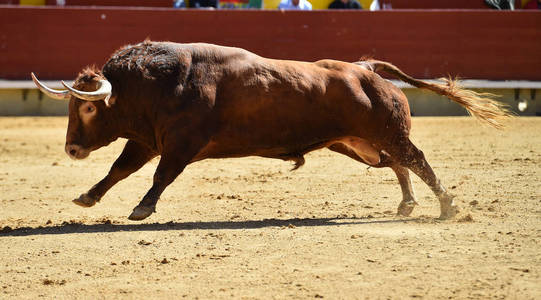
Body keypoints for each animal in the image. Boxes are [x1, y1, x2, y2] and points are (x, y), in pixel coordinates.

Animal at [31, 40, 508, 220]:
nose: (71, 149)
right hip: (359, 143)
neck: (161, 83)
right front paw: (88, 197)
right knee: (398, 165)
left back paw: (446, 206)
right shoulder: (147, 140)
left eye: (87, 108)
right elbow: (119, 169)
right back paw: (408, 205)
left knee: (417, 160)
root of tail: (364, 69)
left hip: (387, 132)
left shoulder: (180, 145)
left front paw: (142, 209)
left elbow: (160, 175)